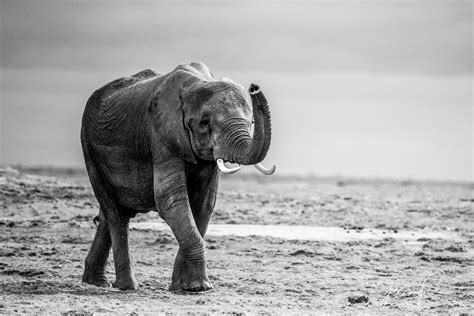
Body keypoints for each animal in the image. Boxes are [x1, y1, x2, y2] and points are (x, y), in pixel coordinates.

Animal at [80, 61, 274, 292]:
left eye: (251, 122)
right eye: (205, 124)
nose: (254, 87)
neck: (197, 83)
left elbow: (204, 204)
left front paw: (188, 287)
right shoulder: (161, 135)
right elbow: (171, 201)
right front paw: (199, 287)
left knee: (108, 216)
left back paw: (96, 282)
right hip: (89, 148)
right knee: (115, 215)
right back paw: (127, 286)